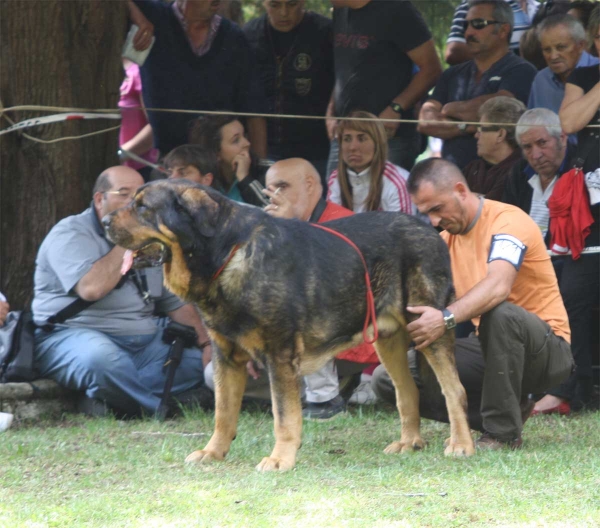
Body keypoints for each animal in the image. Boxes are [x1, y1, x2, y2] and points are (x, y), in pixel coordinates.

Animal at [105, 179, 476, 468]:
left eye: (142, 208)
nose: (105, 221)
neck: (227, 254)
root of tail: (432, 230)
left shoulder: (279, 355)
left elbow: (283, 416)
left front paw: (280, 459)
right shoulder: (227, 357)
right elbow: (223, 412)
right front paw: (213, 453)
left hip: (428, 326)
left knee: (454, 389)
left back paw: (461, 445)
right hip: (389, 337)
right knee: (407, 390)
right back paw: (408, 442)